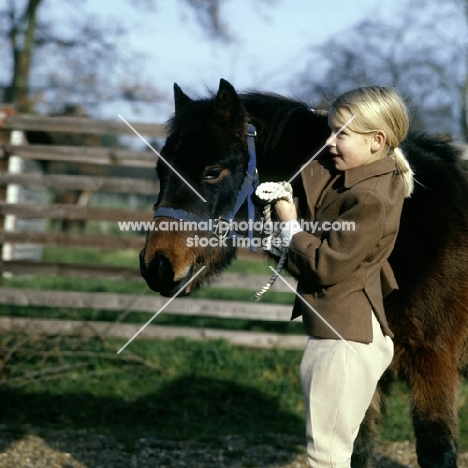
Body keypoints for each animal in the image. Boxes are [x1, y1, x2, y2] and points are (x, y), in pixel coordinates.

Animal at [140, 78, 468, 466]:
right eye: (161, 171)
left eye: (212, 171)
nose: (157, 266)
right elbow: (356, 449)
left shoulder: (434, 362)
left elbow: (437, 450)